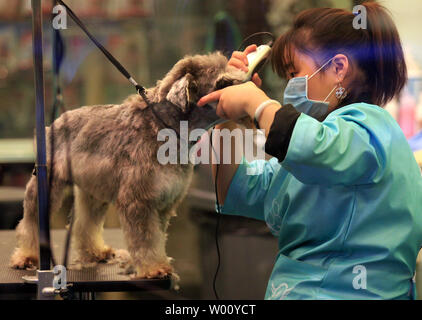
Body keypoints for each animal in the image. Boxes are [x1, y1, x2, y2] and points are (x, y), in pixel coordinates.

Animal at [9, 51, 249, 282]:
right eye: (223, 82)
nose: (249, 85)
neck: (164, 127)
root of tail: (56, 122)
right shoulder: (138, 200)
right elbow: (146, 239)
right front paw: (154, 269)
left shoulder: (163, 204)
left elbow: (156, 237)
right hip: (46, 186)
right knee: (30, 221)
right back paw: (26, 256)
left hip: (93, 192)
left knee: (84, 223)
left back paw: (95, 252)